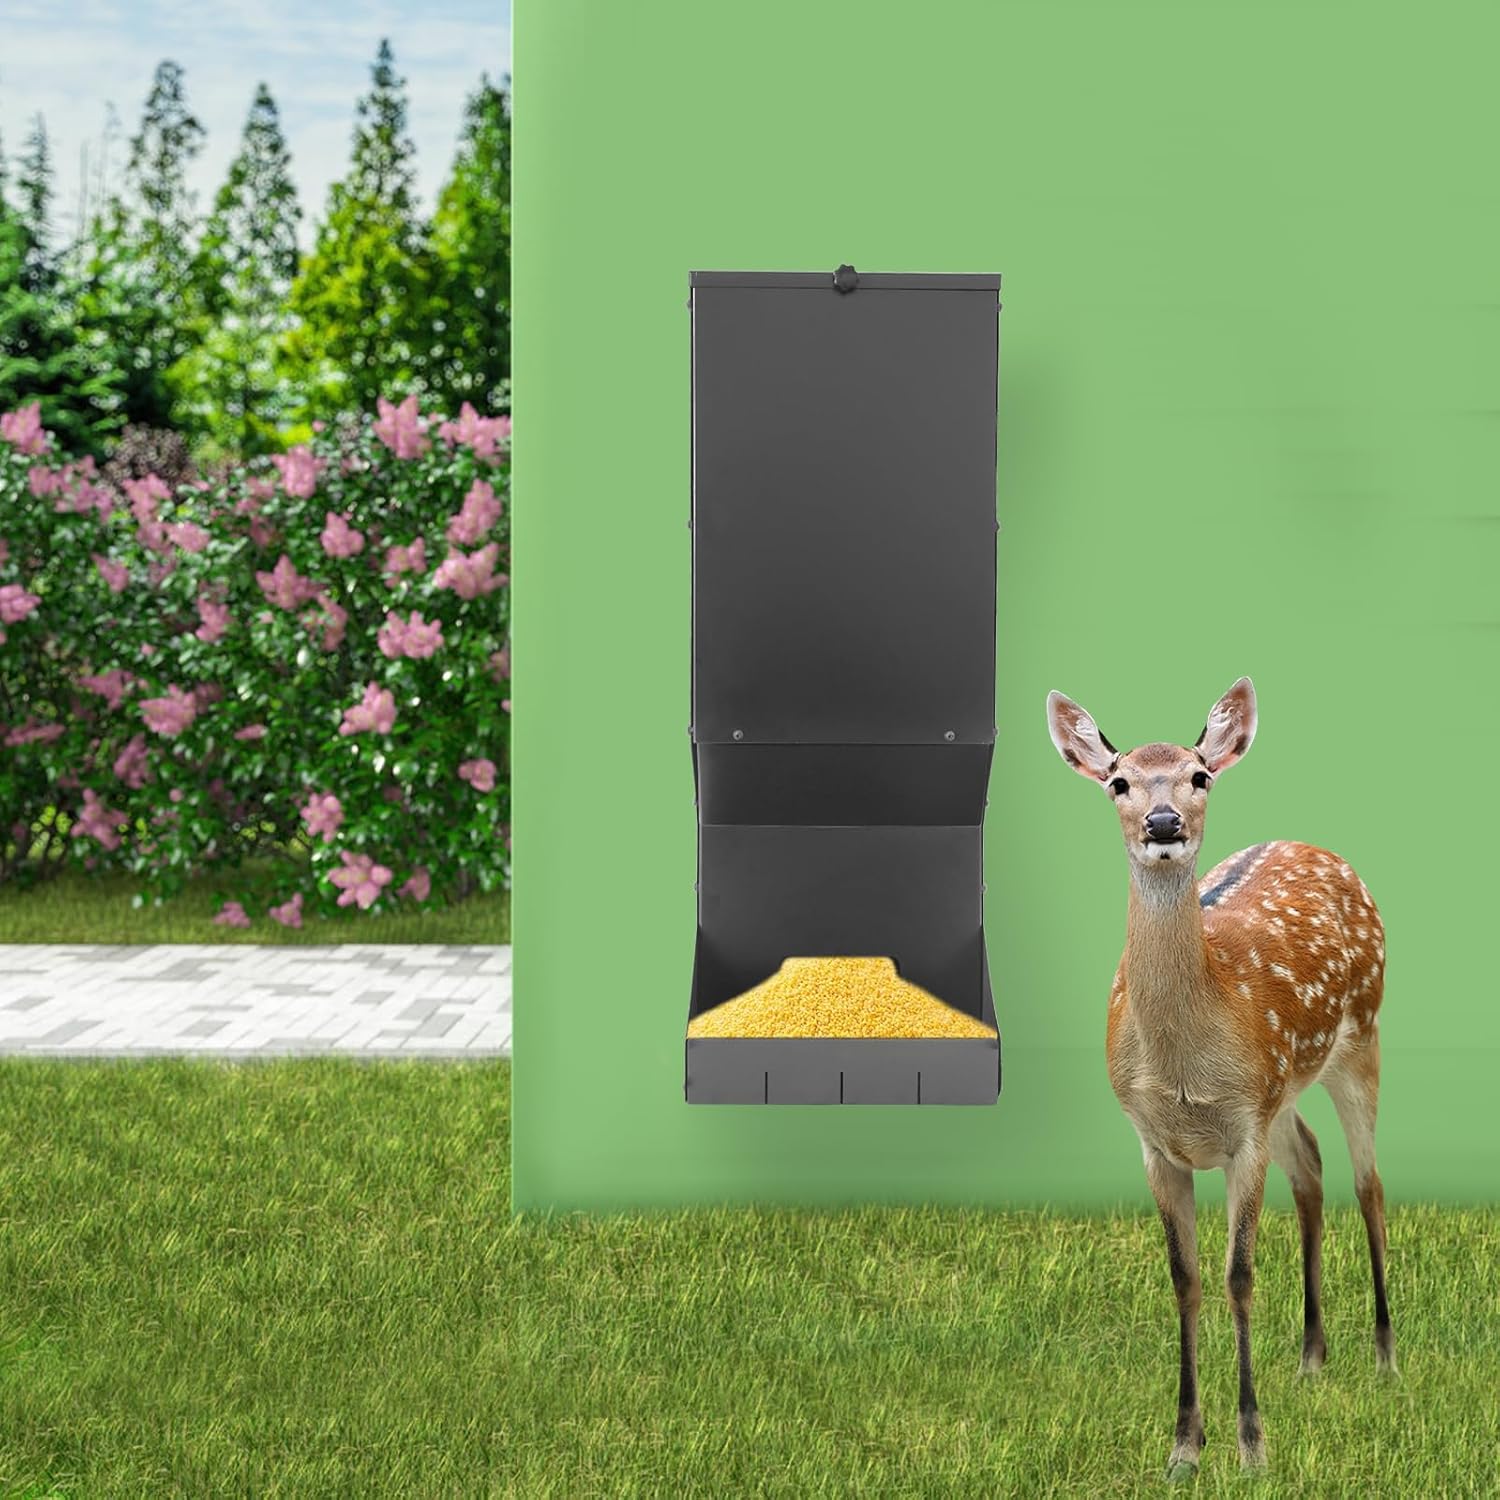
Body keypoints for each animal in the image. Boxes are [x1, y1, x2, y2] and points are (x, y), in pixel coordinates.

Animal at [1045, 677, 1393, 1479]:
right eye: (1118, 781)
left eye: (1200, 775)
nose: (1164, 821)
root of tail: (1322, 849)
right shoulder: (1157, 1141)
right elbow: (1186, 1279)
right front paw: (1183, 1447)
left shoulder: (1243, 1134)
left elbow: (1238, 1277)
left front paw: (1252, 1446)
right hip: (1285, 1085)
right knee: (1313, 1167)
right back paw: (1311, 1358)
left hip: (1361, 1033)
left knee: (1369, 1182)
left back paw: (1387, 1360)